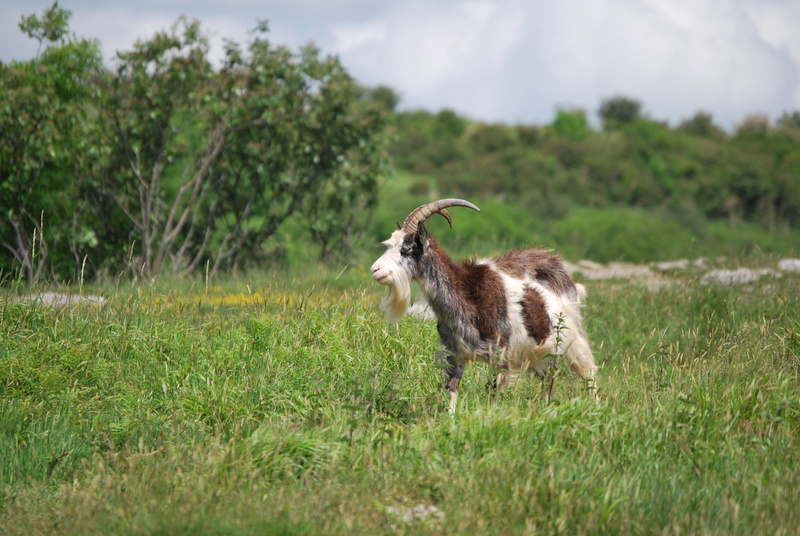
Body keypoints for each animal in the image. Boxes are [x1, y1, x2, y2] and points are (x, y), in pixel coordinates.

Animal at [370, 198, 598, 412]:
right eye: (389, 245)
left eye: (407, 249)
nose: (375, 269)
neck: (467, 297)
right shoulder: (454, 354)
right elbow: (451, 391)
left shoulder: (500, 354)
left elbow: (494, 394)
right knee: (549, 377)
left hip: (573, 336)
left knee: (588, 371)